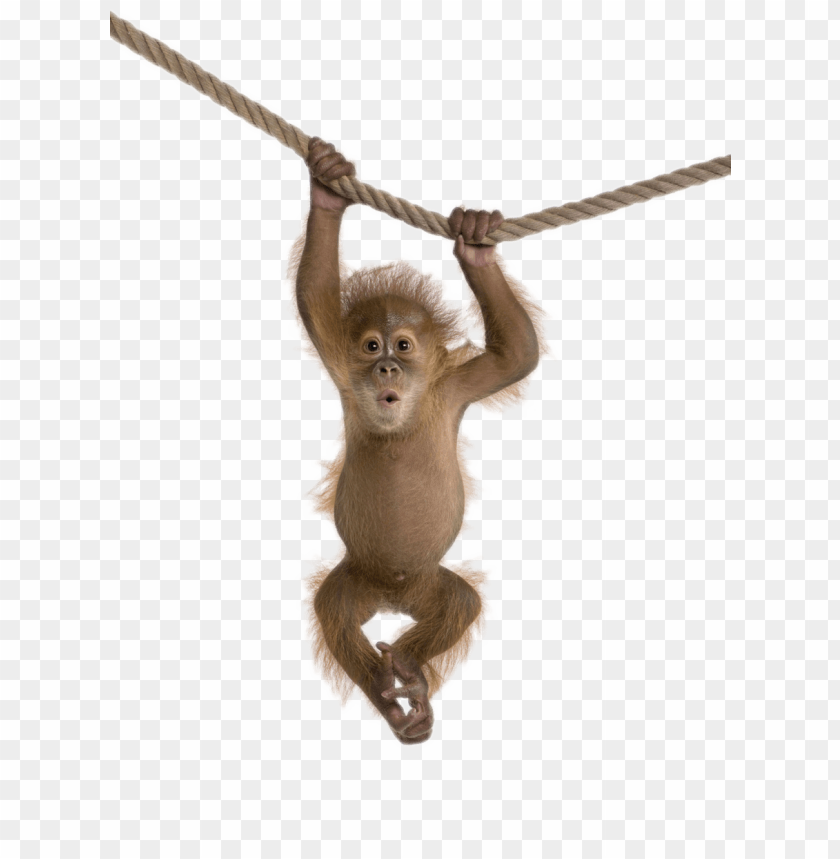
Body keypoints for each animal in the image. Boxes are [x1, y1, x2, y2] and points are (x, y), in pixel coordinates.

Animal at [290, 138, 546, 743]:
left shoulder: (455, 388)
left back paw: (408, 669)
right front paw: (327, 187)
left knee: (460, 604)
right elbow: (313, 297)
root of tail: (393, 596)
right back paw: (391, 697)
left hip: (429, 586)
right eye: (371, 346)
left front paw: (475, 243)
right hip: (357, 580)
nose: (386, 368)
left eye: (403, 346)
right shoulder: (339, 362)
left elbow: (517, 354)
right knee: (334, 614)